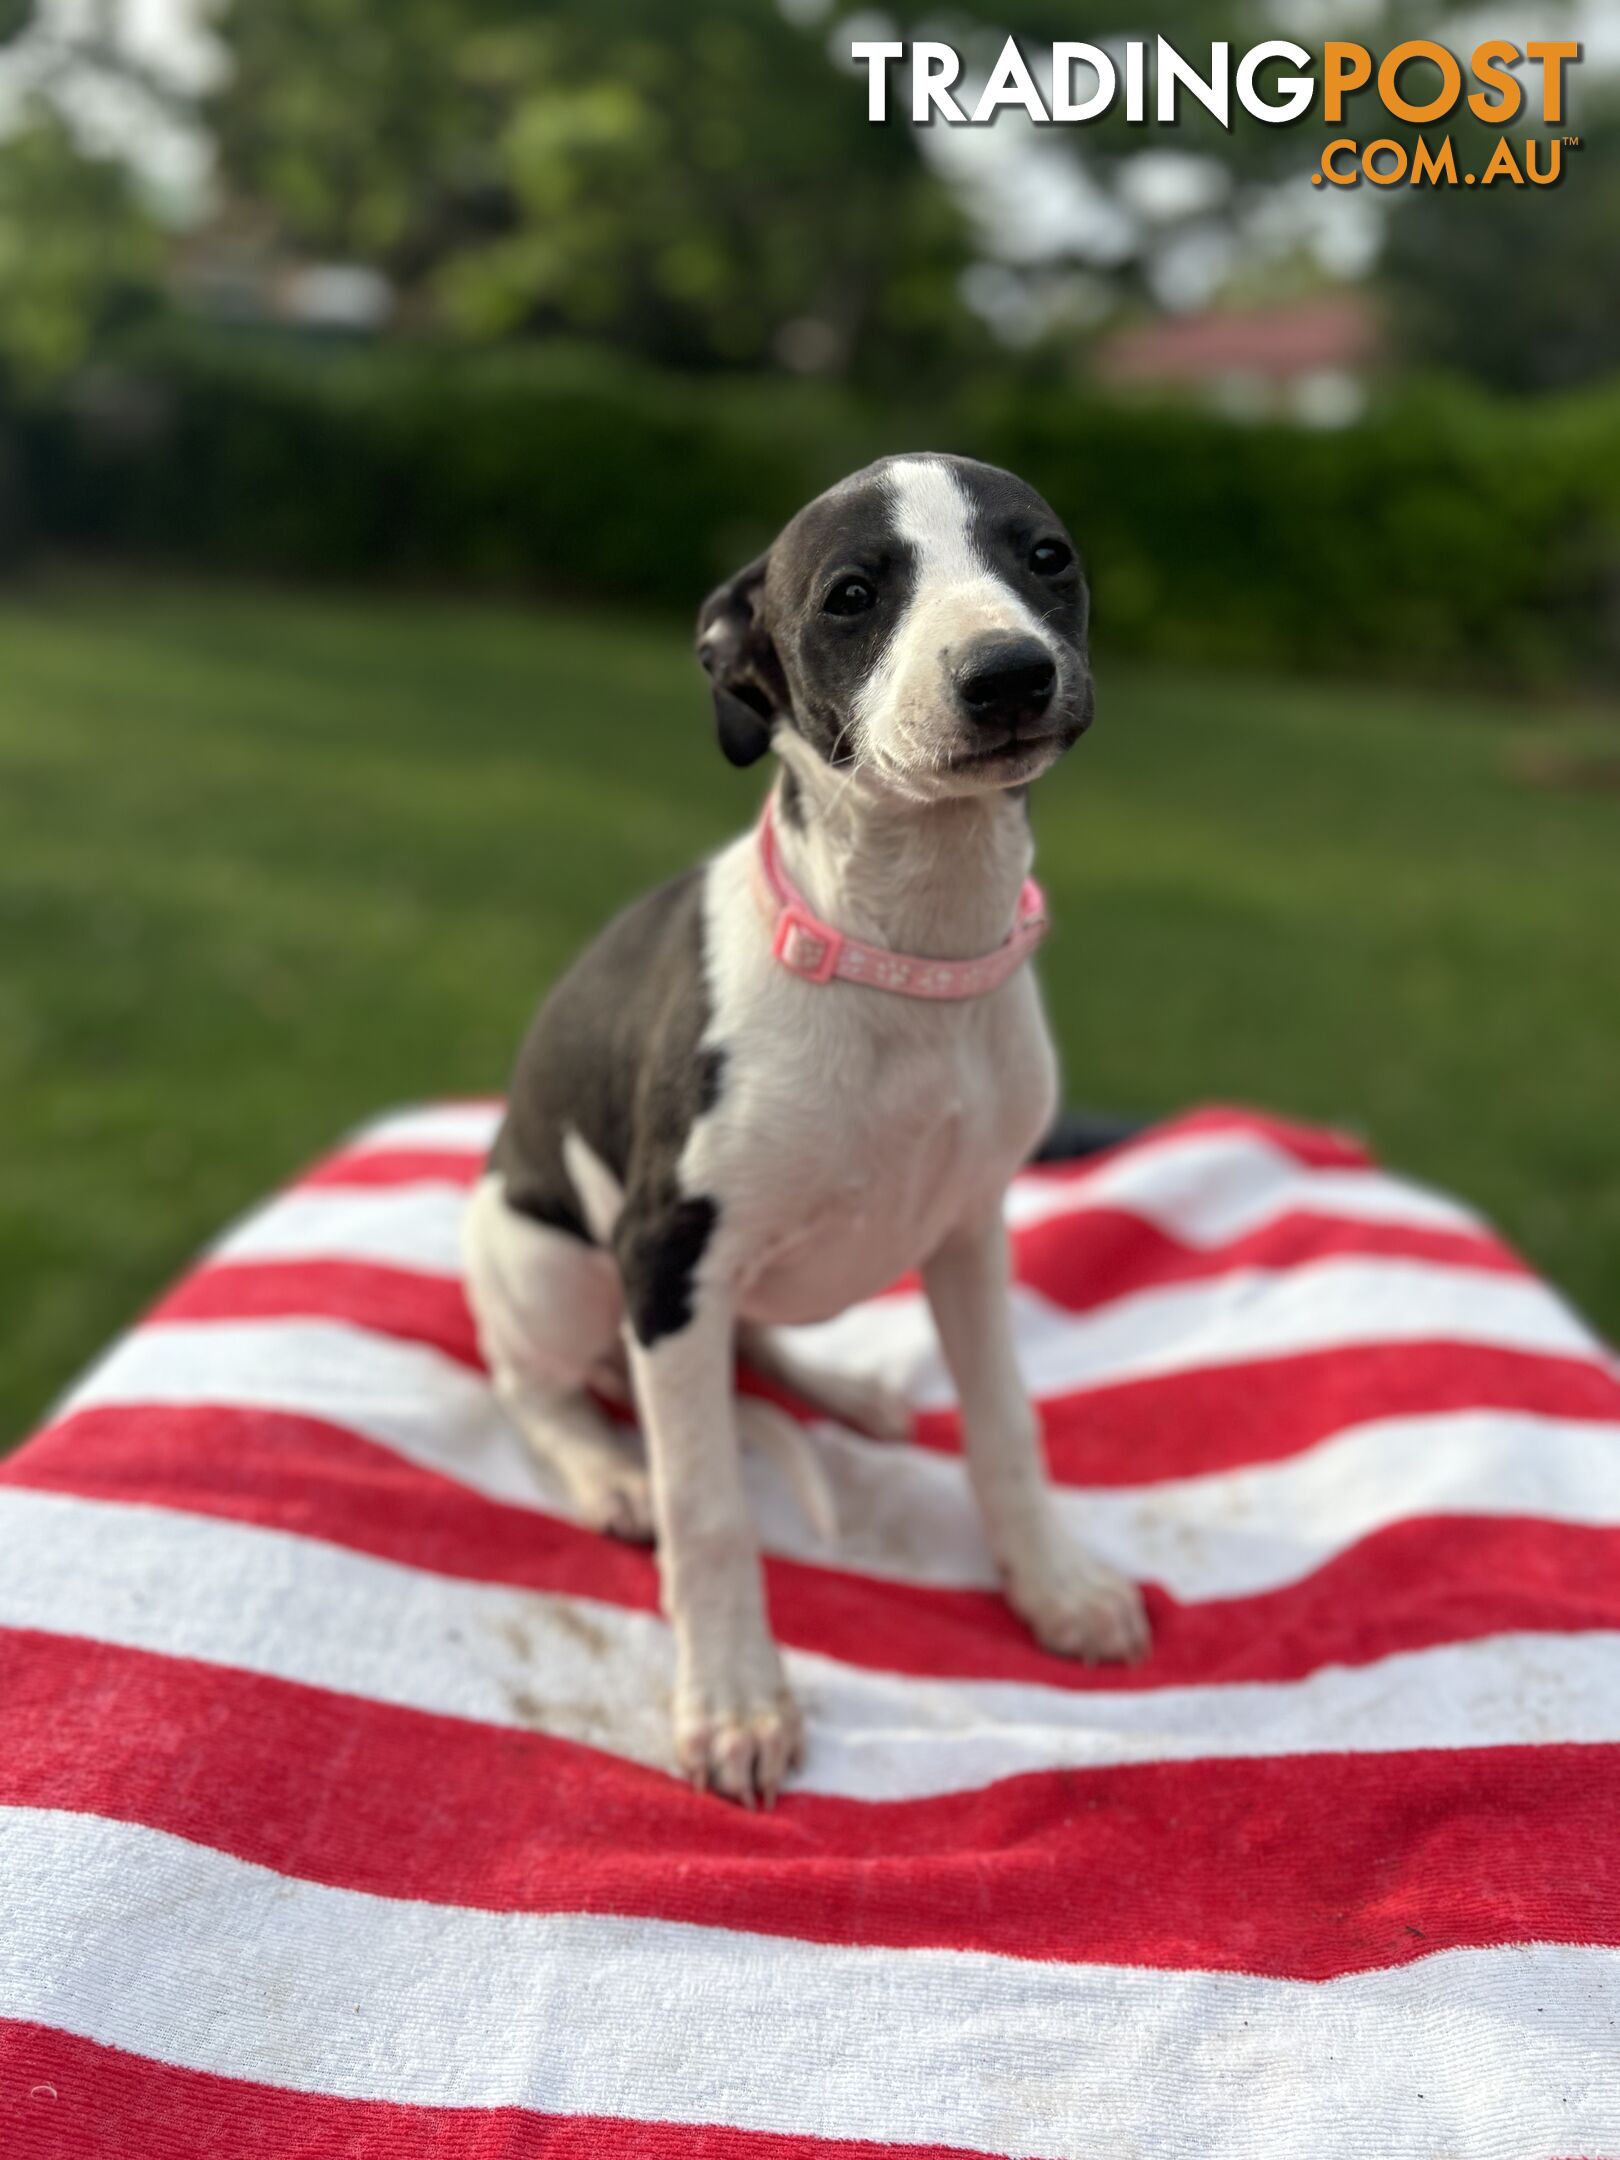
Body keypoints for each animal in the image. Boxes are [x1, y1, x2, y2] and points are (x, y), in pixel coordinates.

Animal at [468, 455, 1157, 1805]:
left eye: (1044, 557)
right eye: (850, 594)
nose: (1008, 672)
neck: (904, 955)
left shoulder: (972, 1232)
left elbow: (1008, 1426)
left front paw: (1053, 1586)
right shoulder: (667, 1253)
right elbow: (711, 1510)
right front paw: (737, 1698)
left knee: (753, 1345)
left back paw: (844, 1390)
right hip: (547, 1259)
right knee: (536, 1387)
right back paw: (605, 1469)